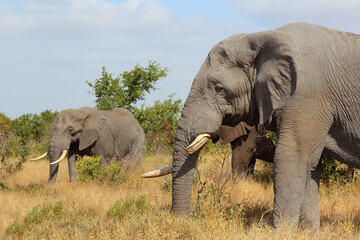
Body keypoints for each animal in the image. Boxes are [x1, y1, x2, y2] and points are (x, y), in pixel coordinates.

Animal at [144, 23, 360, 231]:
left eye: (220, 89)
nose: (182, 220)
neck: (261, 37)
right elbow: (311, 165)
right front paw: (310, 232)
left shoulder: (306, 96)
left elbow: (290, 158)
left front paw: (281, 232)